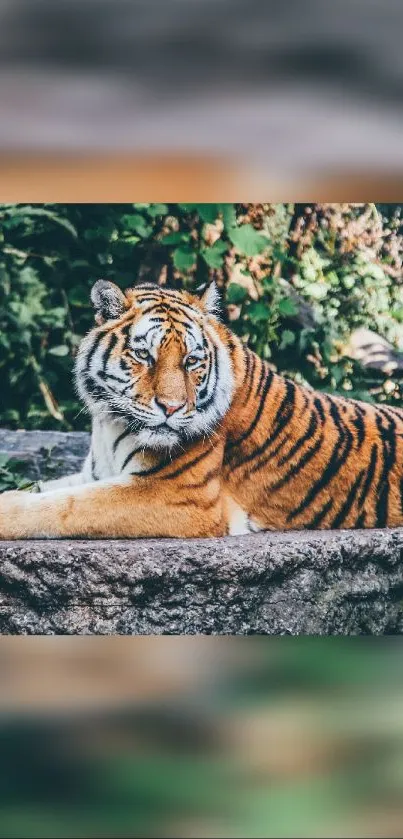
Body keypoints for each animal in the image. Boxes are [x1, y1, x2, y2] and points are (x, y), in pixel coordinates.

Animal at [2, 276, 403, 540]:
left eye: (191, 361)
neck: (111, 423)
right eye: (144, 356)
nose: (172, 407)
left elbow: (65, 506)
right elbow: (49, 489)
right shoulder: (96, 474)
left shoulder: (176, 495)